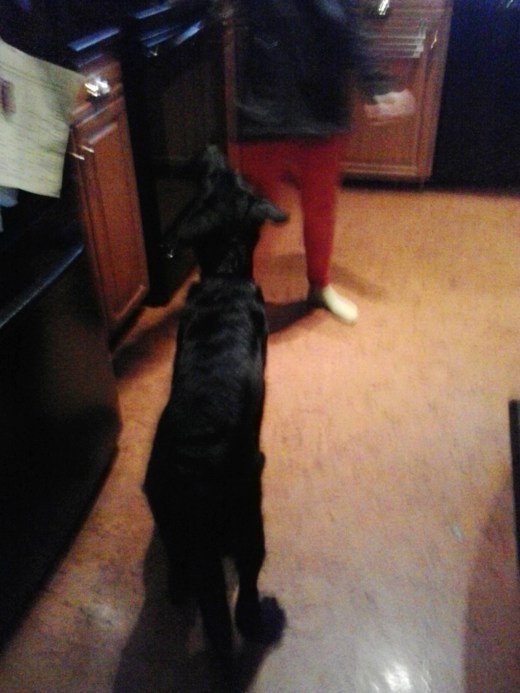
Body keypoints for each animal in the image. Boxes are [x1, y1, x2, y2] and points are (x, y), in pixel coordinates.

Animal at [144, 146, 287, 666]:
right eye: (217, 176)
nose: (209, 149)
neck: (225, 270)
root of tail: (195, 484)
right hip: (250, 524)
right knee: (243, 606)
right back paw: (268, 618)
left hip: (170, 524)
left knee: (180, 580)